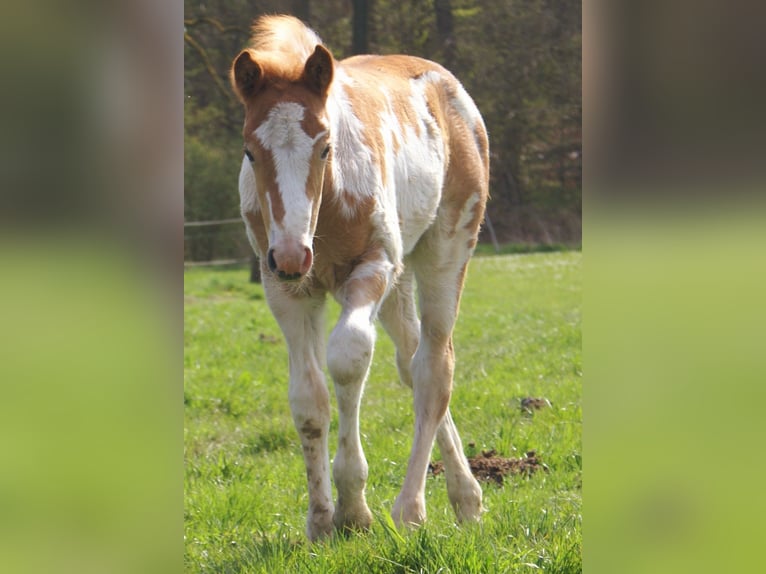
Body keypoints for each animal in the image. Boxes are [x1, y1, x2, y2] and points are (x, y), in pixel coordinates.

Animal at [230, 15, 489, 541]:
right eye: (250, 152)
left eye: (325, 147)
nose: (292, 254)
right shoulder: (285, 290)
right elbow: (308, 398)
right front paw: (320, 520)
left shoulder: (372, 269)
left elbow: (348, 358)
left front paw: (353, 508)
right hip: (398, 284)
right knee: (412, 361)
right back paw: (466, 499)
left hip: (444, 252)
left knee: (434, 369)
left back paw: (412, 509)